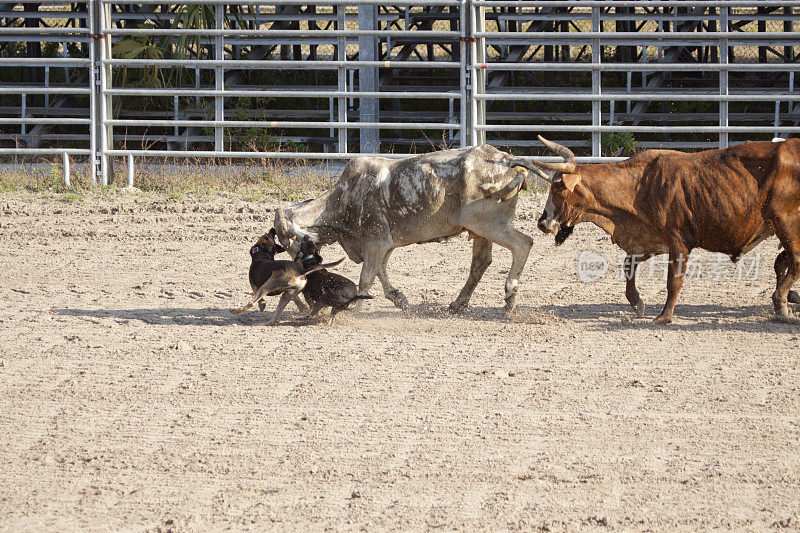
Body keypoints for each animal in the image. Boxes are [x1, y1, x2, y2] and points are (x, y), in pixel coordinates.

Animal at [532, 135, 800, 322]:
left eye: (558, 187)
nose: (542, 222)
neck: (641, 185)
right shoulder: (648, 237)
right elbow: (629, 265)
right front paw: (637, 302)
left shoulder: (678, 240)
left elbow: (674, 281)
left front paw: (664, 316)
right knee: (784, 262)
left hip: (785, 222)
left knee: (795, 262)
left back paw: (781, 303)